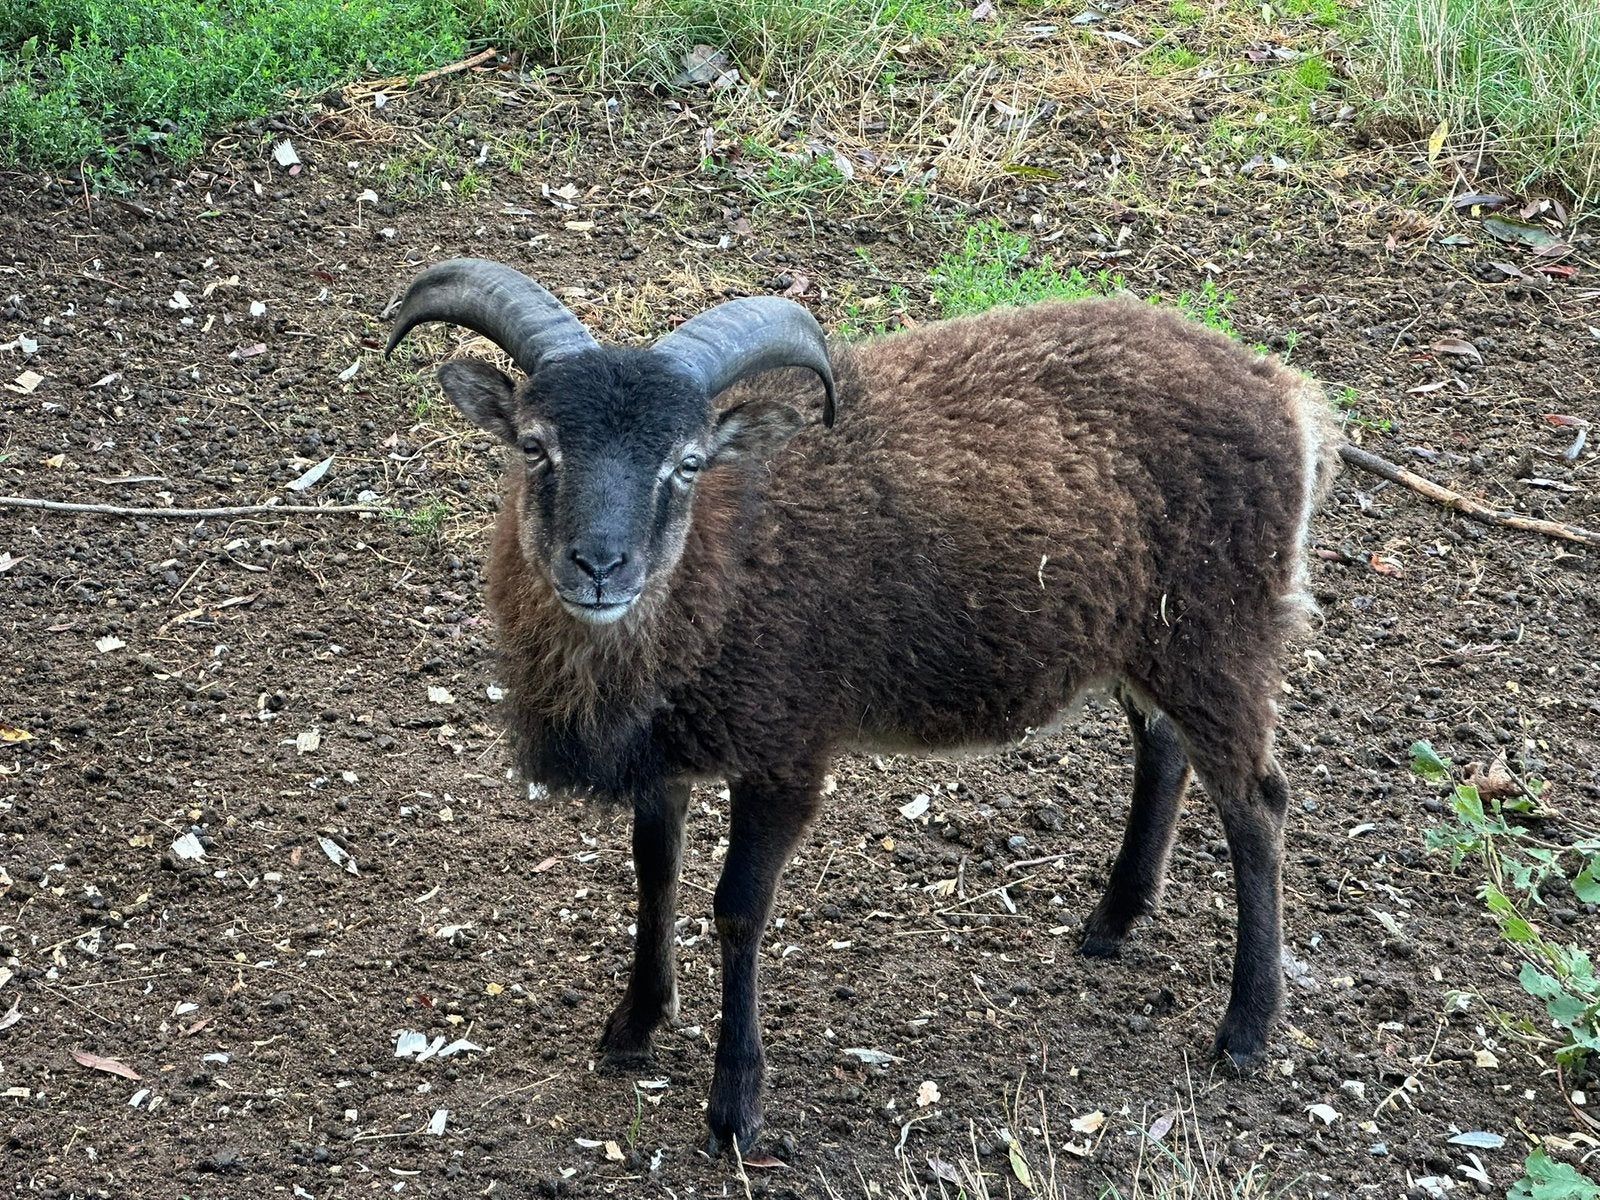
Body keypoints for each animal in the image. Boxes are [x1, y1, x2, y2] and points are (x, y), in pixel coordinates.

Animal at [385, 257, 1338, 1157]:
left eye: (686, 463)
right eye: (535, 446)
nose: (600, 567)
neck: (724, 559)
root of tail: (1284, 393)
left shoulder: (785, 749)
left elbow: (738, 910)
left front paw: (734, 1110)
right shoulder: (665, 749)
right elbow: (654, 874)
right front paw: (633, 1027)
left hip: (1220, 628)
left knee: (1257, 802)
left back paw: (1246, 1028)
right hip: (1144, 635)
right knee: (1164, 748)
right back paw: (1112, 923)